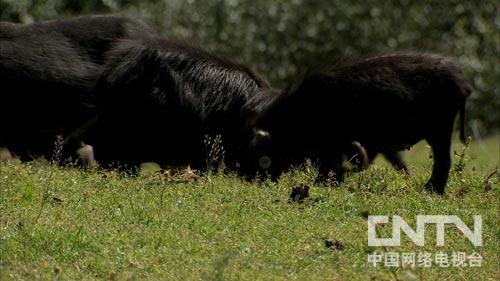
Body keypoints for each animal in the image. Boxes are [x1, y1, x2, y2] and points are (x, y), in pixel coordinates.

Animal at [248, 52, 474, 192]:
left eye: (264, 156)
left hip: (441, 127)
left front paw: (327, 182)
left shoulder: (331, 143)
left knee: (443, 160)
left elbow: (331, 165)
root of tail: (464, 83)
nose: (253, 180)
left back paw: (430, 190)